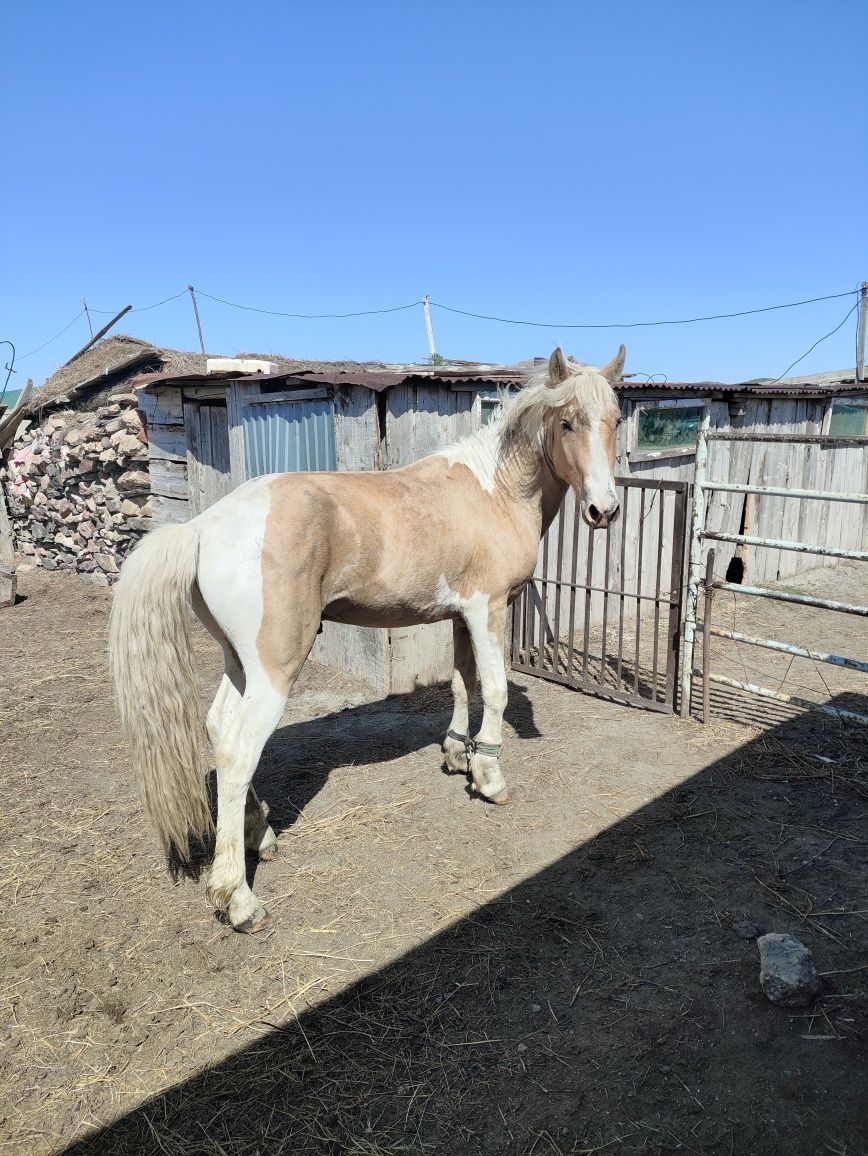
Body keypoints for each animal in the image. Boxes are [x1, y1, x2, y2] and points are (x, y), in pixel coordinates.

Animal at [110, 342, 624, 929]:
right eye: (567, 422)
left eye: (615, 420)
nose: (604, 510)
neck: (493, 490)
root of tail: (201, 529)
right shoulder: (488, 608)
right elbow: (494, 688)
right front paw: (489, 775)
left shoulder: (459, 616)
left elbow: (462, 683)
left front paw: (457, 755)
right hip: (275, 668)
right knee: (239, 751)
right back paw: (237, 897)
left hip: (238, 662)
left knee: (219, 729)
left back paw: (260, 834)